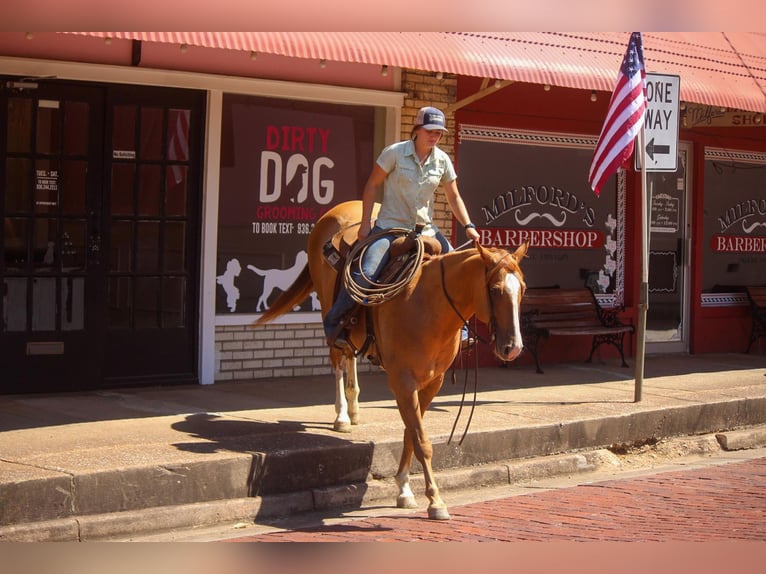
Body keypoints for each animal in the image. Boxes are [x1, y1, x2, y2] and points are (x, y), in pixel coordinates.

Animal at [256, 202, 528, 520]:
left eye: (522, 288)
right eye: (495, 290)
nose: (513, 348)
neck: (428, 304)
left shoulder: (431, 382)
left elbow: (411, 432)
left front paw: (405, 489)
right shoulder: (403, 381)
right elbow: (421, 440)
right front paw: (435, 500)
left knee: (349, 354)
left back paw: (355, 408)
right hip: (328, 309)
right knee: (337, 358)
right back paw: (342, 416)